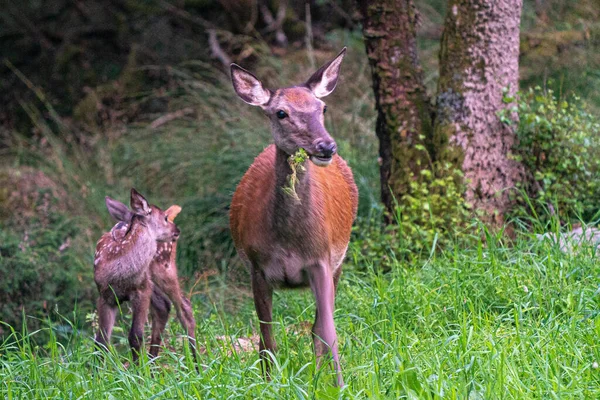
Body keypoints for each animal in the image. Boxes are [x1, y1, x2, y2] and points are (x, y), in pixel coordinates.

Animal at [103, 196, 197, 362]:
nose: (175, 230)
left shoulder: (141, 291)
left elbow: (134, 335)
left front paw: (138, 367)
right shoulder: (105, 295)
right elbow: (101, 341)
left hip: (165, 270)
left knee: (184, 307)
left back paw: (197, 363)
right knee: (164, 306)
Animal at [230, 48, 356, 386]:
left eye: (322, 108)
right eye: (280, 113)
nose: (326, 146)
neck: (289, 242)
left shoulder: (322, 260)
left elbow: (327, 331)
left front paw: (338, 384)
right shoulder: (257, 267)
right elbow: (266, 338)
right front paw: (268, 382)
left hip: (340, 261)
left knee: (317, 329)